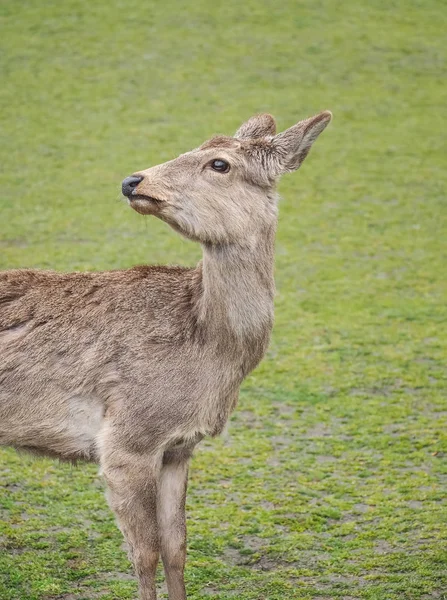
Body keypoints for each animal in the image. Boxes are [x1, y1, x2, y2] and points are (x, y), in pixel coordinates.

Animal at [0, 110, 332, 596]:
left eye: (219, 163)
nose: (132, 181)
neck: (213, 357)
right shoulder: (126, 441)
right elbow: (145, 555)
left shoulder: (179, 448)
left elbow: (177, 548)